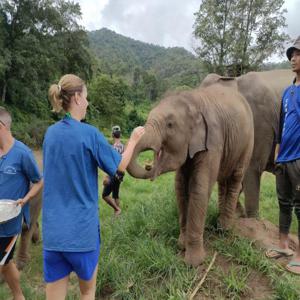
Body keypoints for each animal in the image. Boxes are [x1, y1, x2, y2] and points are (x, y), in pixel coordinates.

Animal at [126, 83, 253, 266]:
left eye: (170, 124)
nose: (149, 166)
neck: (192, 100)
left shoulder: (213, 141)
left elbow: (199, 188)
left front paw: (193, 262)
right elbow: (180, 187)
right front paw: (181, 245)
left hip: (248, 141)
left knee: (235, 177)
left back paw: (225, 228)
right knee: (223, 180)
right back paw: (220, 225)